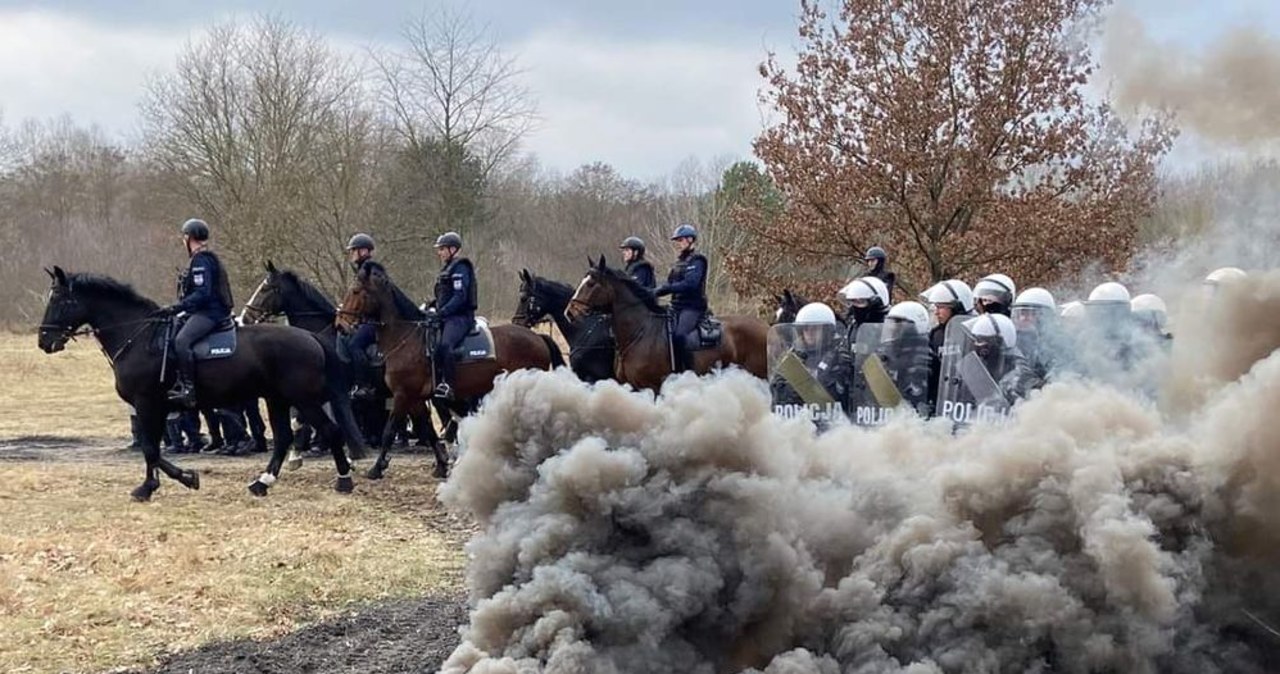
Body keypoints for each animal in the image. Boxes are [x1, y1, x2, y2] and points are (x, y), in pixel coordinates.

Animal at [38, 267, 358, 501]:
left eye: (60, 300)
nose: (44, 341)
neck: (136, 336)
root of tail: (311, 337)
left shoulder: (147, 403)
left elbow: (150, 448)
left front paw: (163, 484)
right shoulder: (156, 407)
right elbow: (152, 448)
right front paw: (166, 481)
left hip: (302, 399)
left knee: (329, 431)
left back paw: (344, 480)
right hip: (277, 399)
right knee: (282, 439)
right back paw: (261, 483)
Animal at [335, 262, 565, 480]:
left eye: (355, 291)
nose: (340, 324)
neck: (407, 338)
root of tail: (537, 337)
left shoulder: (402, 395)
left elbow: (389, 431)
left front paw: (377, 468)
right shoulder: (416, 398)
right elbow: (428, 431)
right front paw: (441, 465)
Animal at [565, 257, 762, 393]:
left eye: (591, 283)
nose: (570, 312)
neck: (640, 331)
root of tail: (764, 327)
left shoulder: (654, 387)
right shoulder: (630, 386)